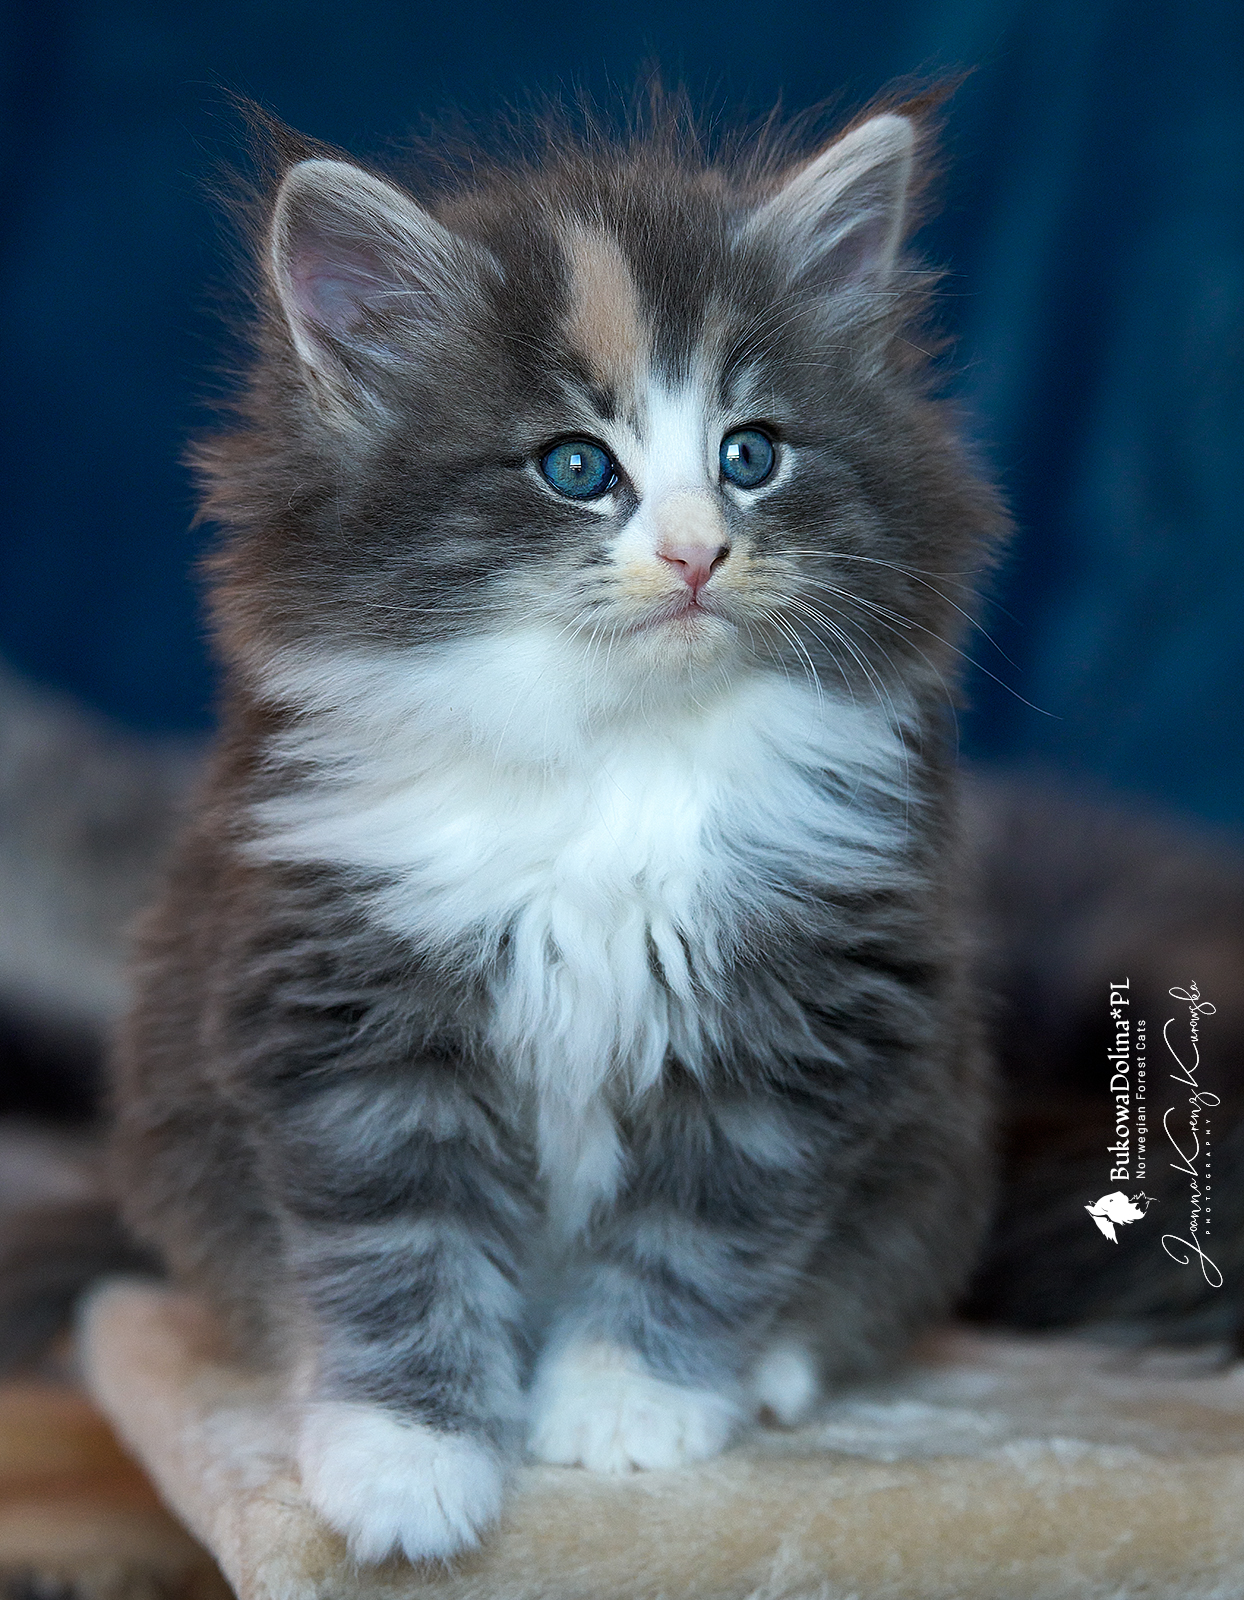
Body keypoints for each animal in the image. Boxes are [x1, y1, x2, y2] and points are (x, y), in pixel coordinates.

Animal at [96, 100, 1010, 1565]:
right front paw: (403, 1462)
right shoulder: (345, 1005)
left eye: (750, 454)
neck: (613, 757)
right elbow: (397, 1248)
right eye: (577, 468)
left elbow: (705, 1228)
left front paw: (631, 1406)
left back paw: (771, 1371)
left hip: (940, 1150)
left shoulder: (800, 1011)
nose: (696, 553)